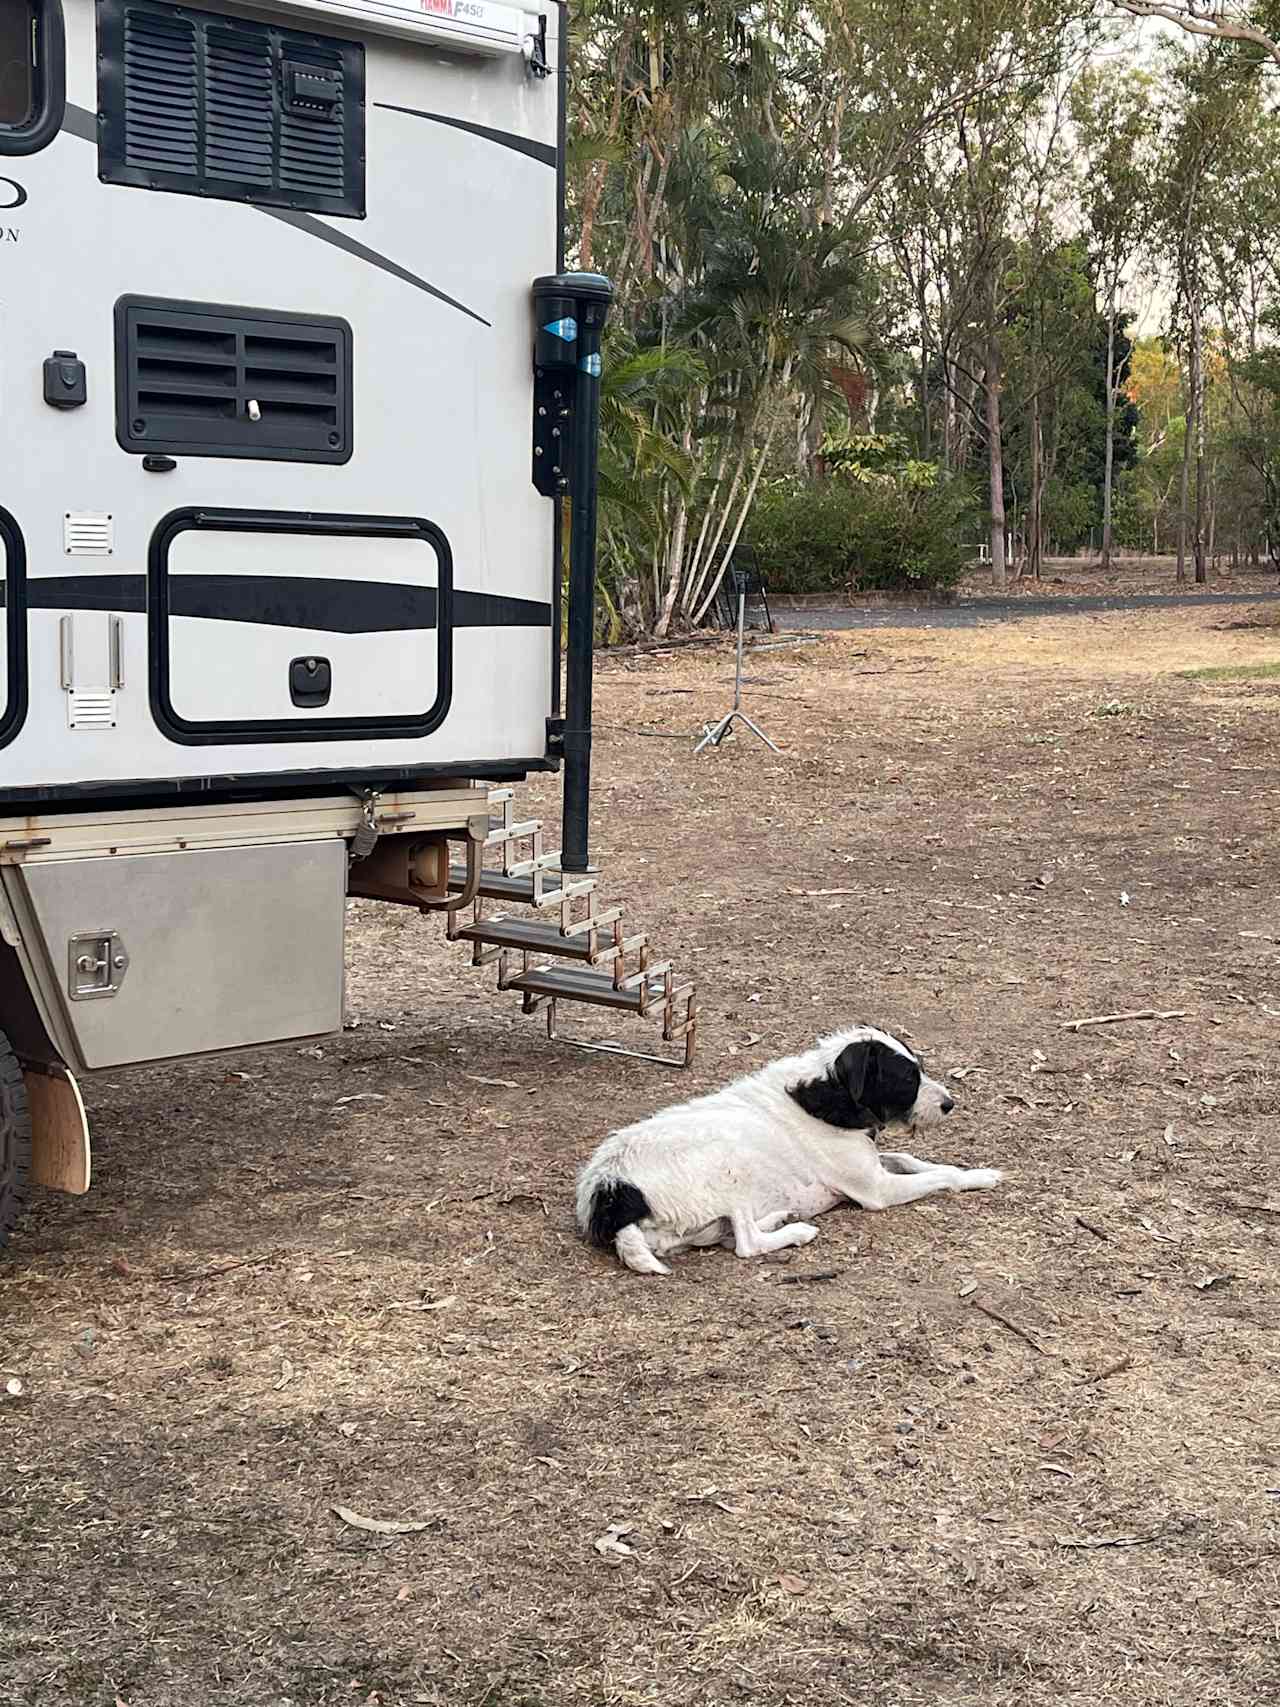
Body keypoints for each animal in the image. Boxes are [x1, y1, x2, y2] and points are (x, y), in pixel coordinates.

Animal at [576, 1017, 1010, 1276]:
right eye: (906, 1078)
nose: (950, 1104)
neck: (828, 1094)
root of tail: (608, 1188)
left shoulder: (876, 1163)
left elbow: (914, 1159)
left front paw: (973, 1170)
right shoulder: (878, 1190)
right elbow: (941, 1178)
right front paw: (973, 1178)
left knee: (725, 1234)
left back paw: (777, 1218)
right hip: (729, 1167)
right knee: (746, 1245)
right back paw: (796, 1230)